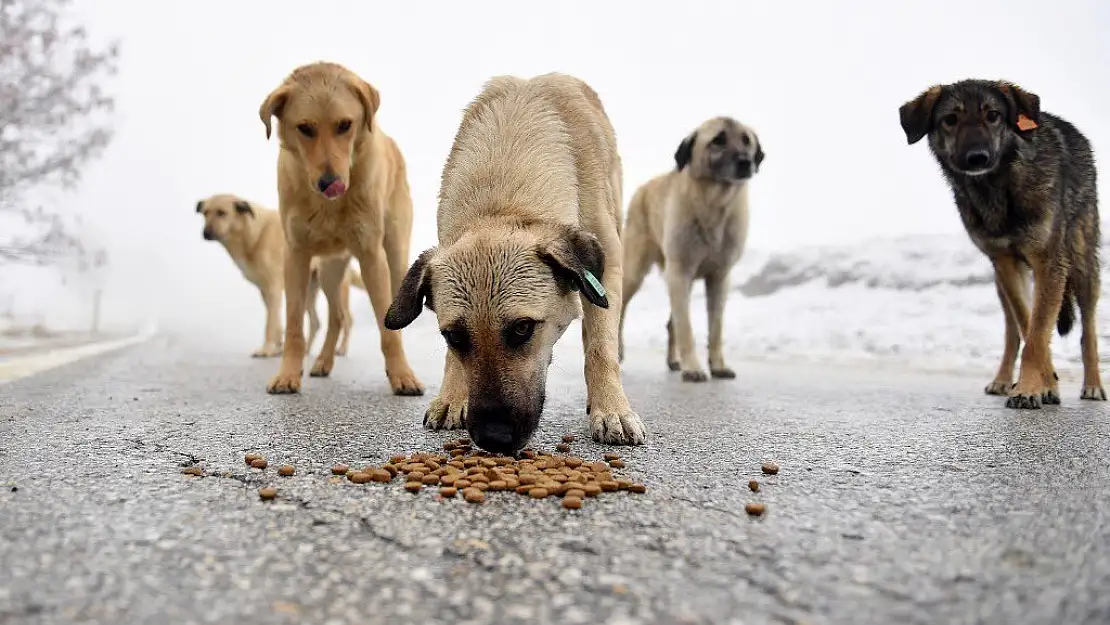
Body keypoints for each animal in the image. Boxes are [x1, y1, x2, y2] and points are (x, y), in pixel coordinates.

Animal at [194, 195, 359, 359]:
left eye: (222, 213)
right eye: (205, 213)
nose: (205, 233)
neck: (253, 234)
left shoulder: (273, 288)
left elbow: (270, 324)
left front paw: (266, 349)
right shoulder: (266, 291)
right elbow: (276, 322)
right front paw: (277, 348)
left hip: (334, 287)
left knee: (346, 319)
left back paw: (341, 349)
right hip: (308, 291)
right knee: (316, 322)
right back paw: (305, 351)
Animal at [257, 62, 421, 395]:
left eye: (345, 125)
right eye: (305, 128)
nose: (329, 182)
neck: (328, 206)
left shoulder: (372, 255)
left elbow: (387, 328)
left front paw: (402, 374)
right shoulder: (295, 256)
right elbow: (294, 324)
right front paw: (288, 374)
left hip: (395, 255)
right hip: (330, 269)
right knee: (337, 315)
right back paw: (322, 361)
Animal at [384, 73, 648, 455]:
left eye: (522, 328)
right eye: (453, 335)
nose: (494, 439)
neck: (503, 199)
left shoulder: (607, 270)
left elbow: (601, 348)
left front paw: (612, 409)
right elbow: (451, 359)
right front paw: (451, 397)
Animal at [617, 116, 763, 381]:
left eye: (746, 140)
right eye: (718, 140)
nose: (746, 162)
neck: (714, 203)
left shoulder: (719, 277)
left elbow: (715, 328)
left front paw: (718, 365)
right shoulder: (679, 271)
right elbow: (686, 327)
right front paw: (693, 367)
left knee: (671, 322)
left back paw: (673, 360)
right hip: (635, 271)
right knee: (621, 308)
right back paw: (619, 351)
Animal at [901, 78, 1101, 408]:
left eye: (993, 115)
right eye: (950, 119)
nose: (977, 157)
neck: (997, 187)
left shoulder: (1049, 262)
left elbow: (1039, 332)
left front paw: (1031, 388)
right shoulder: (1006, 263)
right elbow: (1029, 326)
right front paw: (1044, 384)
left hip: (1082, 266)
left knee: (1089, 331)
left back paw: (1094, 385)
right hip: (1002, 282)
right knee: (1013, 331)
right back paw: (1005, 379)